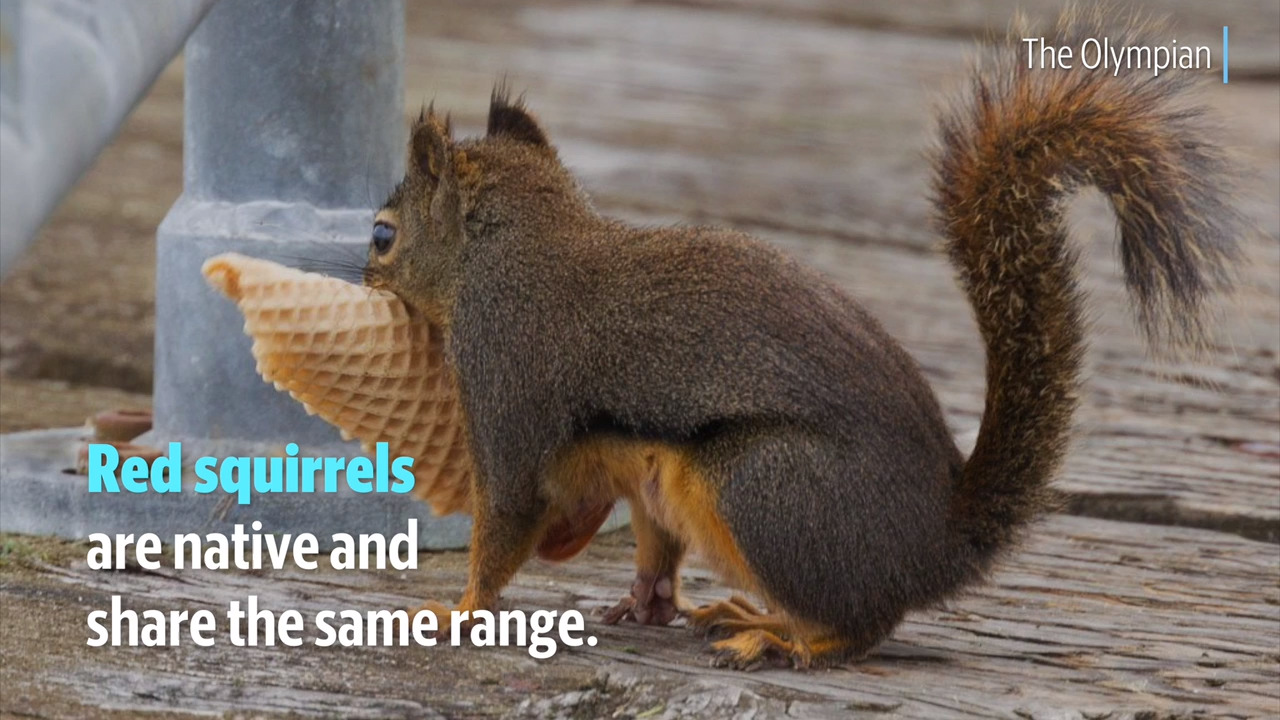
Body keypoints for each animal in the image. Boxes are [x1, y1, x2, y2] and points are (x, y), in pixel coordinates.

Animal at [362, 10, 1240, 668]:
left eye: (382, 236)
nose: (363, 274)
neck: (519, 246)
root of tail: (936, 544)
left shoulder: (504, 376)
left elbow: (507, 516)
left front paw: (457, 612)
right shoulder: (637, 463)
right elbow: (647, 540)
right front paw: (647, 601)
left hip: (761, 487)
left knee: (863, 624)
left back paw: (782, 638)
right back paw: (750, 614)